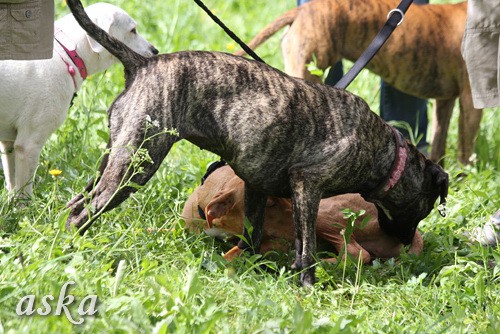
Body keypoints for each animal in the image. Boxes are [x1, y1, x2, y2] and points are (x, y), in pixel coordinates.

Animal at [0, 1, 157, 196]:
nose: (155, 50)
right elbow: (24, 193)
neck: (67, 53)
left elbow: (12, 186)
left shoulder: (9, 144)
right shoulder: (28, 145)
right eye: (133, 30)